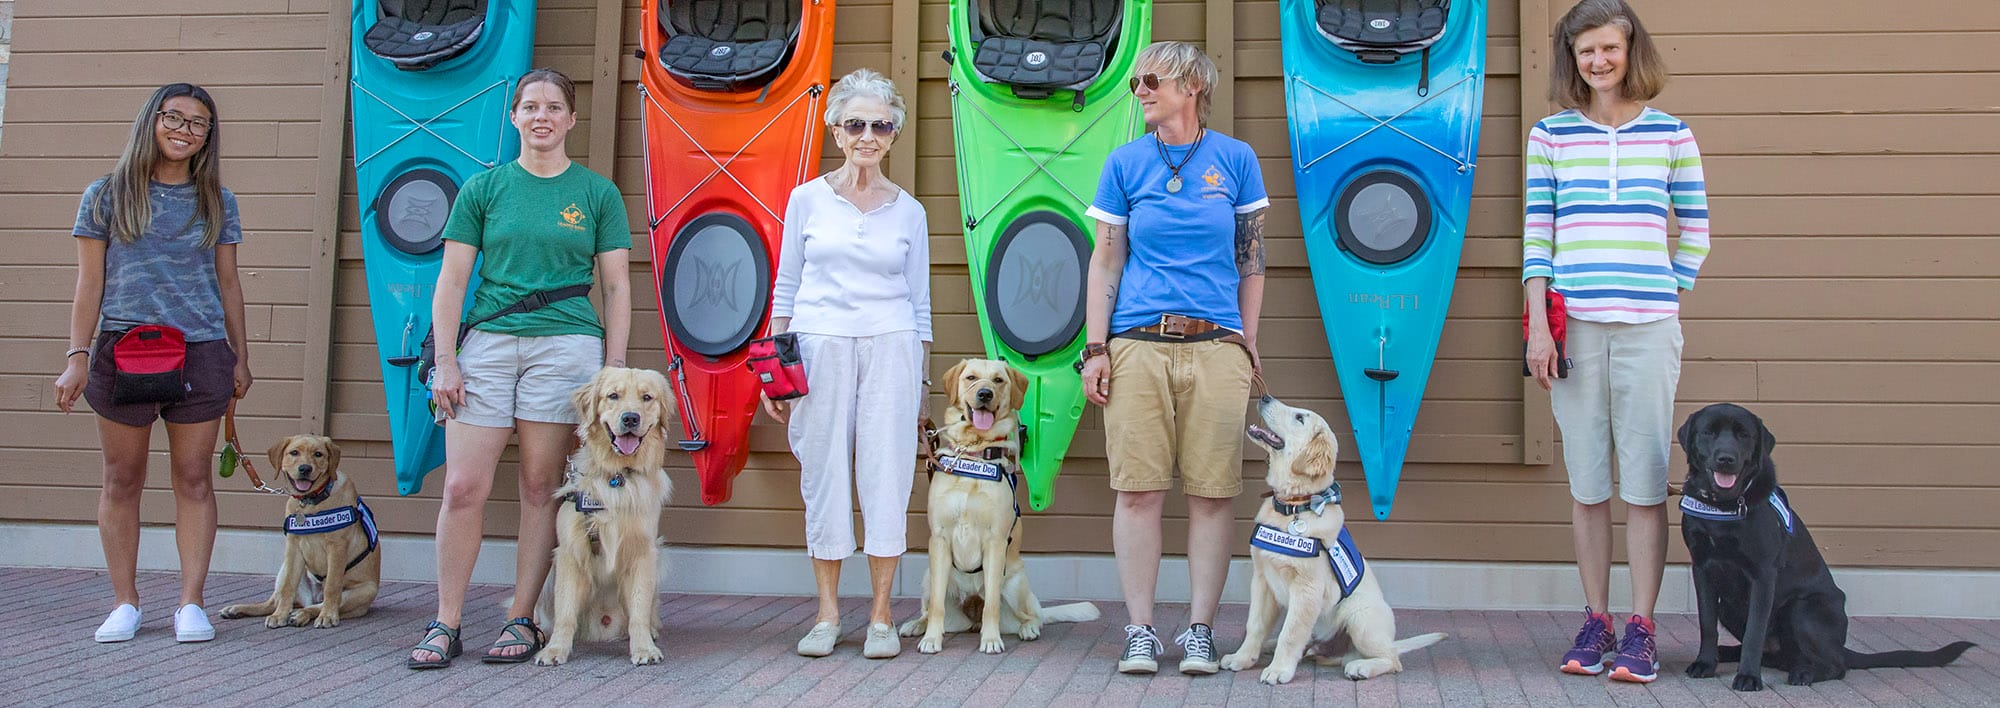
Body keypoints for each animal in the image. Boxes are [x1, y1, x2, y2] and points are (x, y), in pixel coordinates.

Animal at [219, 434, 378, 628]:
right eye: (294, 452)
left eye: (318, 454)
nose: (305, 468)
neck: (310, 502)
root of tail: (313, 597)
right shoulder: (293, 548)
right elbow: (288, 586)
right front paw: (279, 615)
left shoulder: (337, 547)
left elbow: (332, 587)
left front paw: (328, 616)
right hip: (285, 568)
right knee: (274, 602)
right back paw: (240, 609)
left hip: (365, 591)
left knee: (320, 604)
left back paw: (303, 614)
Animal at [536, 368, 676, 668]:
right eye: (613, 395)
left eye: (647, 397)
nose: (630, 418)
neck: (617, 476)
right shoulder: (569, 552)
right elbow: (565, 612)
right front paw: (555, 649)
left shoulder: (643, 552)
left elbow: (638, 609)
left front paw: (644, 648)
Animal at [900, 362, 1104, 656]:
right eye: (971, 377)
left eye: (998, 380)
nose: (985, 394)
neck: (973, 455)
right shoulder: (938, 539)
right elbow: (937, 605)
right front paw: (931, 639)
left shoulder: (996, 541)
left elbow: (992, 606)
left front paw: (991, 640)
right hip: (929, 575)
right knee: (930, 609)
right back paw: (917, 625)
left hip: (1016, 584)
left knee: (1031, 615)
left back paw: (1027, 629)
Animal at [1208, 396, 1448, 684]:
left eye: (1300, 417)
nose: (1265, 397)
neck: (1294, 506)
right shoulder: (1263, 580)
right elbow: (1254, 625)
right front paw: (1243, 658)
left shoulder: (1307, 589)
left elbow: (1291, 634)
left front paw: (1279, 670)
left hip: (1361, 617)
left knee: (1391, 659)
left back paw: (1361, 667)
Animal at [1680, 404, 1976, 692]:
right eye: (1708, 432)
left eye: (1744, 435)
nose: (1726, 458)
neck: (1722, 506)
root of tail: (1841, 646)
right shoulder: (1702, 568)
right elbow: (1707, 623)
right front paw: (1705, 663)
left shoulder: (1763, 575)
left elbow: (1755, 630)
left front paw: (1749, 677)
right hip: (1731, 606)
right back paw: (1729, 652)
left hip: (1802, 609)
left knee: (1835, 665)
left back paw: (1804, 673)